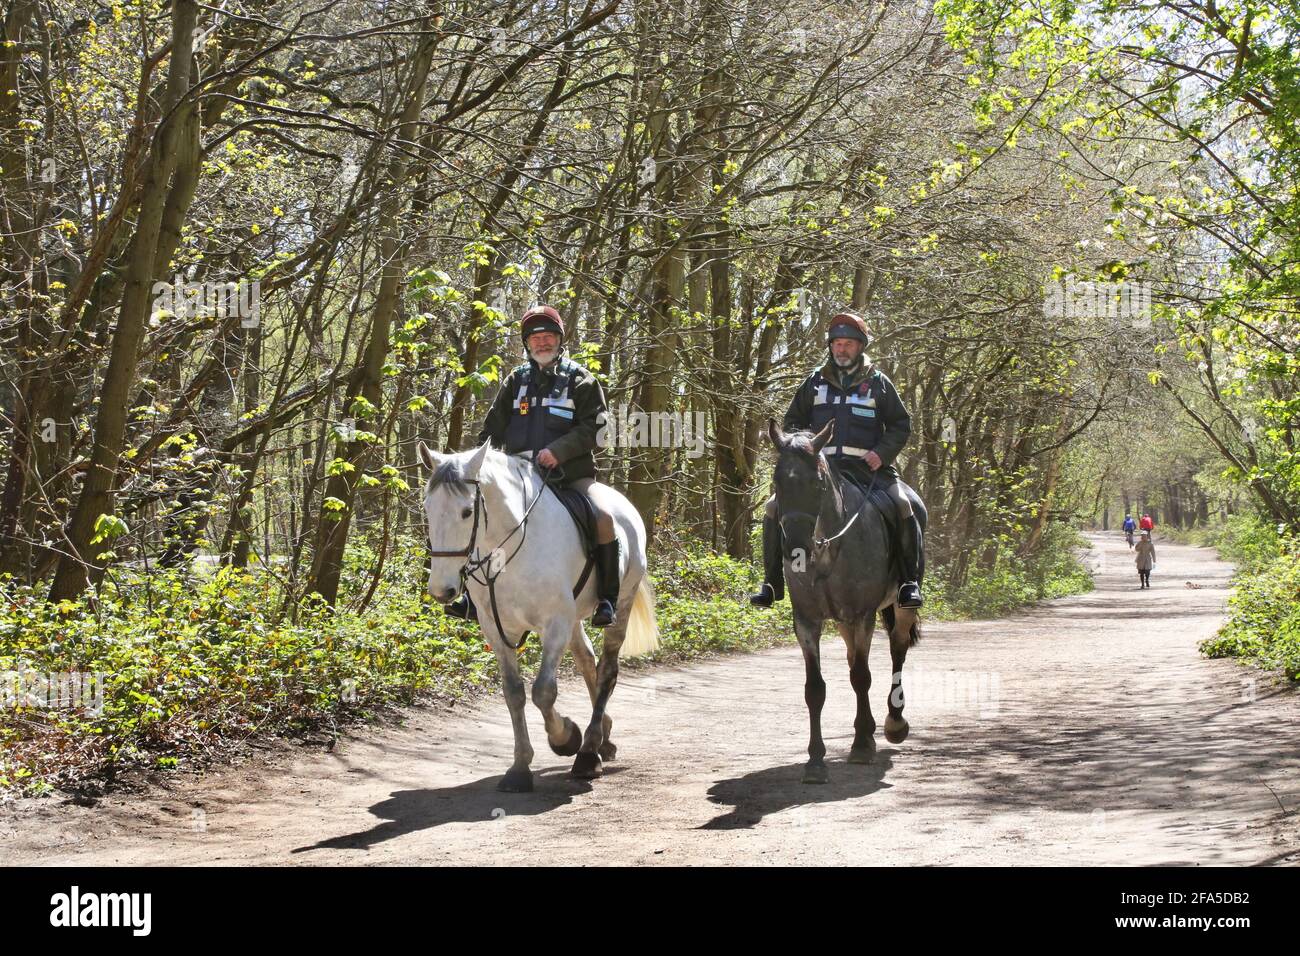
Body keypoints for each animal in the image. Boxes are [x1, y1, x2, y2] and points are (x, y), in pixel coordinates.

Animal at [418, 442, 660, 790]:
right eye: (427, 508)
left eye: (466, 512)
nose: (442, 590)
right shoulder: (496, 629)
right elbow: (514, 693)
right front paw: (520, 767)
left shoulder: (555, 623)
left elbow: (543, 692)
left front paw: (566, 738)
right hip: (573, 617)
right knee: (587, 661)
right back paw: (603, 737)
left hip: (620, 602)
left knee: (607, 670)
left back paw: (589, 751)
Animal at [769, 418, 925, 785]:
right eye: (777, 481)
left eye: (817, 483)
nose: (795, 549)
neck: (828, 548)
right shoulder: (807, 621)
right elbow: (815, 689)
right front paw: (815, 761)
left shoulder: (861, 615)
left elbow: (861, 678)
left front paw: (862, 747)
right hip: (840, 622)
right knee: (855, 657)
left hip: (898, 607)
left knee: (896, 651)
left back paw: (893, 723)